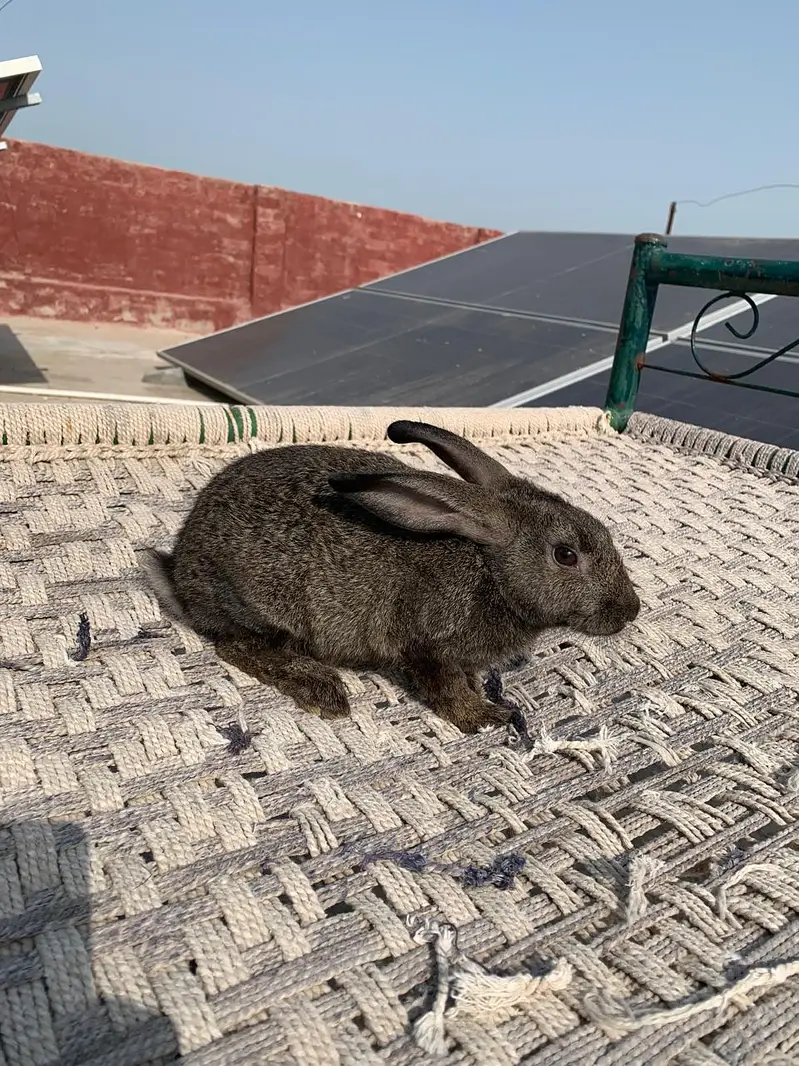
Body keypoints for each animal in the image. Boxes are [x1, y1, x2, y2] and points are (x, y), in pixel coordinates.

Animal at [142, 420, 640, 733]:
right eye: (565, 555)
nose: (629, 611)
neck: (490, 571)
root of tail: (181, 573)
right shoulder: (426, 645)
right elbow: (444, 688)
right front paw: (483, 716)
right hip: (264, 606)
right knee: (236, 646)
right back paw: (323, 691)